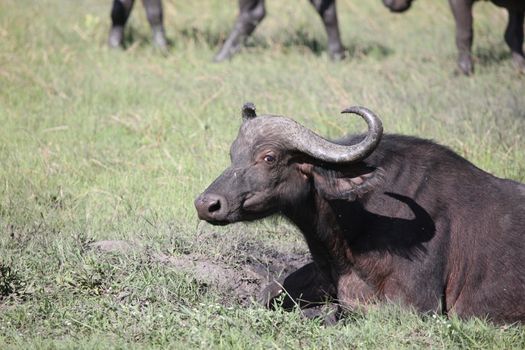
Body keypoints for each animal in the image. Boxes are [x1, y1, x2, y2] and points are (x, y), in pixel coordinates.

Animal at [380, 0, 524, 74]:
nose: (386, 3)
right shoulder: (514, 7)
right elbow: (513, 35)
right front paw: (519, 67)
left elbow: (463, 33)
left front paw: (464, 70)